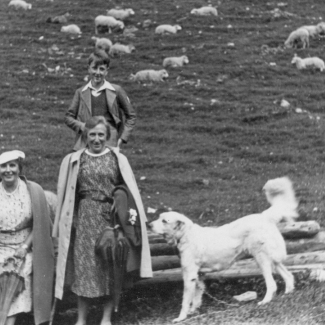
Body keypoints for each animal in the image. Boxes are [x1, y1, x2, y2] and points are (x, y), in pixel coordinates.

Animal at [149, 177, 296, 322]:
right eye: (159, 218)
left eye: (164, 221)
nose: (148, 224)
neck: (186, 234)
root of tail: (264, 216)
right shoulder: (198, 275)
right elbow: (196, 297)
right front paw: (193, 311)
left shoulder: (189, 275)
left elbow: (185, 301)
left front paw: (181, 317)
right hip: (272, 258)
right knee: (288, 275)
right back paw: (287, 293)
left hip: (262, 259)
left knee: (272, 284)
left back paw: (265, 301)